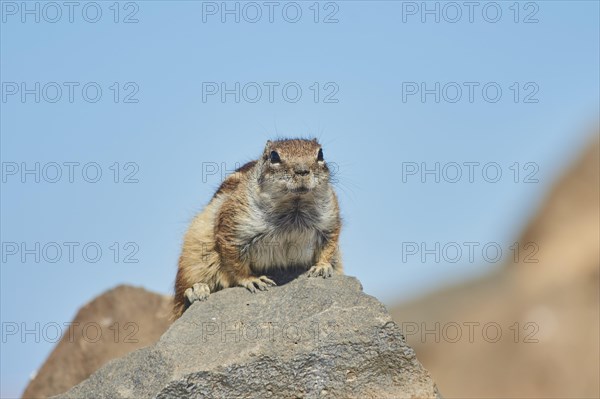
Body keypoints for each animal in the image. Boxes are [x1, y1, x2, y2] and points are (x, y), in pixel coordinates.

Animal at [173, 138, 342, 318]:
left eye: (320, 154)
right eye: (274, 156)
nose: (302, 171)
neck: (294, 205)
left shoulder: (329, 220)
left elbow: (329, 245)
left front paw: (322, 267)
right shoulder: (234, 227)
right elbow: (235, 262)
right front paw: (252, 279)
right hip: (194, 256)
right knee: (181, 299)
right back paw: (196, 291)